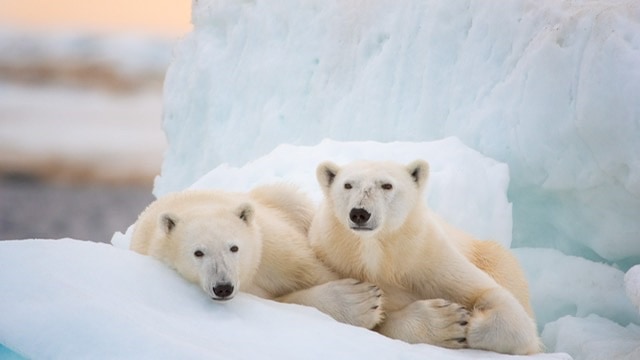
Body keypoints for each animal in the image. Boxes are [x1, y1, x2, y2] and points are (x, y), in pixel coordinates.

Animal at [128, 184, 382, 330]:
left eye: (234, 248)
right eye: (198, 253)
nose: (223, 287)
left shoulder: (270, 246)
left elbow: (313, 270)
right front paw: (361, 302)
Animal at [308, 160, 540, 354]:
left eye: (387, 185)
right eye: (347, 185)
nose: (359, 213)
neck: (379, 254)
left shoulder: (427, 257)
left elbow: (491, 295)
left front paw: (470, 321)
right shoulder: (337, 260)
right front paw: (448, 321)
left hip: (492, 257)